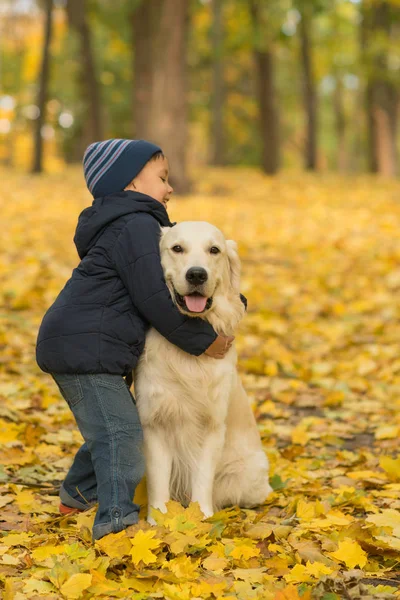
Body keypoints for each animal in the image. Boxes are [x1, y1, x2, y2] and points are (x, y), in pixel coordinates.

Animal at [134, 220, 272, 520]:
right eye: (177, 248)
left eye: (214, 250)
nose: (197, 274)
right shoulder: (155, 421)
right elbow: (159, 482)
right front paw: (158, 520)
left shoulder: (212, 425)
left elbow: (202, 479)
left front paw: (202, 519)